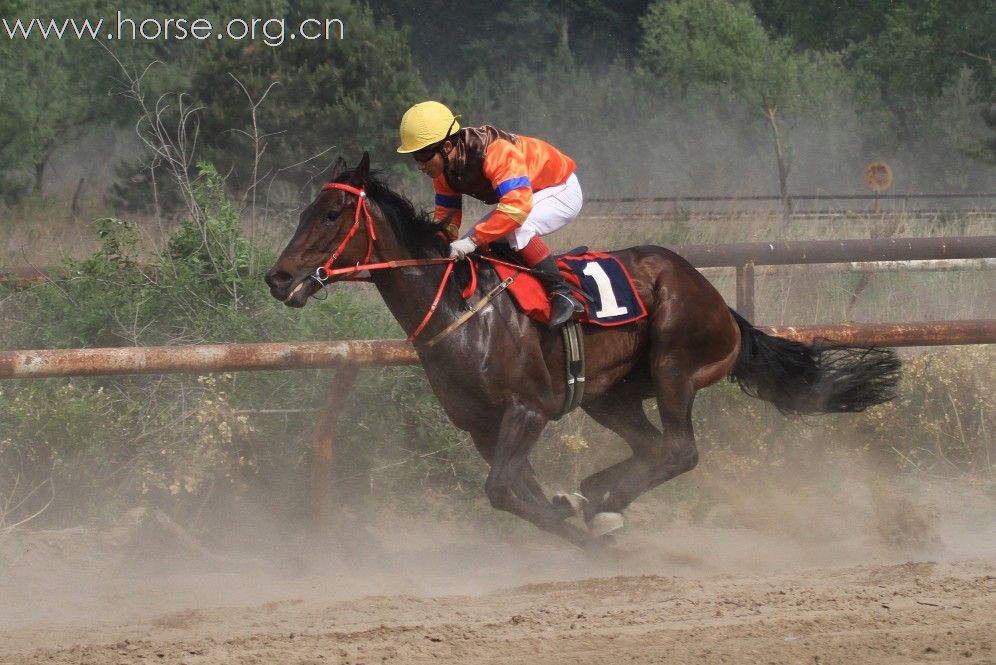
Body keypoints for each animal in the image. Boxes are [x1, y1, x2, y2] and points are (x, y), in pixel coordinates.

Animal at [266, 156, 904, 548]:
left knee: (680, 450)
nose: (278, 278)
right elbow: (515, 490)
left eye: (331, 213)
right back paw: (597, 495)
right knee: (652, 447)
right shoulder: (481, 425)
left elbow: (503, 489)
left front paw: (576, 523)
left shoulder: (528, 409)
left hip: (675, 363)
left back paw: (605, 500)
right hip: (609, 394)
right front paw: (570, 514)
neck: (459, 310)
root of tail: (723, 306)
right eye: (301, 212)